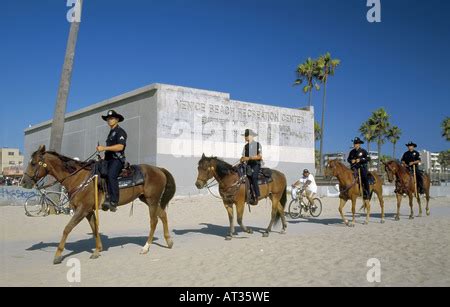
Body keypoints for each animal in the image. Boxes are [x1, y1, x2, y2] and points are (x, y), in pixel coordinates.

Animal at [21, 146, 176, 264]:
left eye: (33, 163)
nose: (23, 182)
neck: (78, 178)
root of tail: (159, 169)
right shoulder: (88, 211)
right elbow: (95, 228)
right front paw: (97, 250)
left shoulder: (82, 210)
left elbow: (67, 229)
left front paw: (58, 255)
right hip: (148, 200)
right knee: (163, 215)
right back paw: (169, 241)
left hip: (152, 200)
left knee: (154, 221)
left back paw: (146, 247)